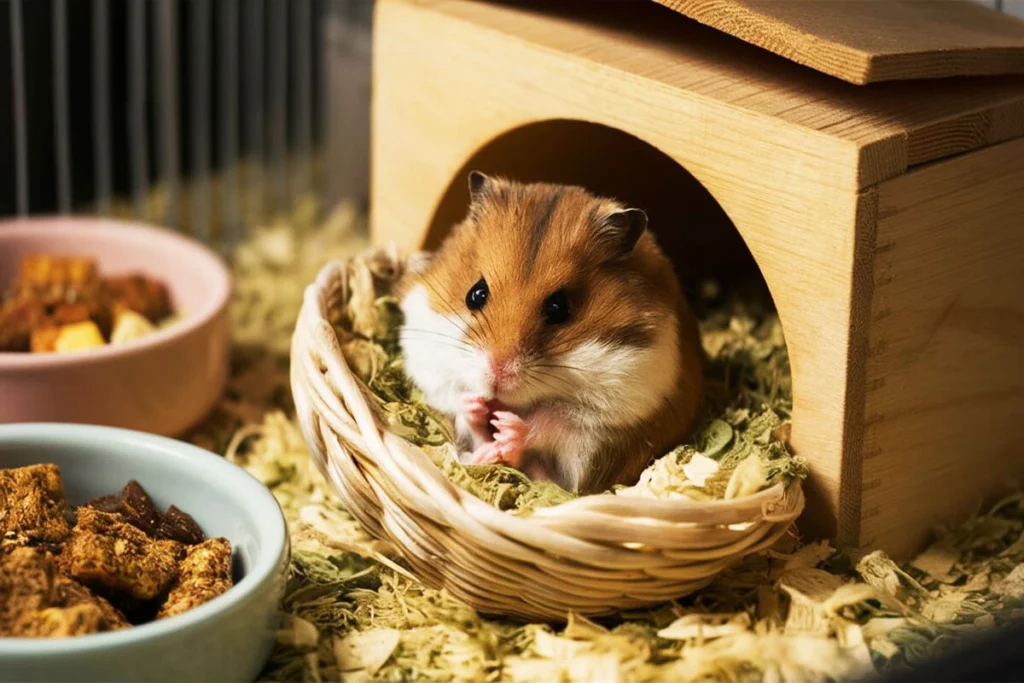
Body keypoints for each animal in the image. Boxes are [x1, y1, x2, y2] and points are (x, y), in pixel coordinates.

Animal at [393, 168, 704, 493]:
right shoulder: (428, 361)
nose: (497, 378)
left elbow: (555, 421)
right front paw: (477, 402)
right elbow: (456, 396)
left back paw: (503, 441)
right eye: (475, 294)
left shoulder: (622, 401)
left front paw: (506, 425)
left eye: (559, 308)